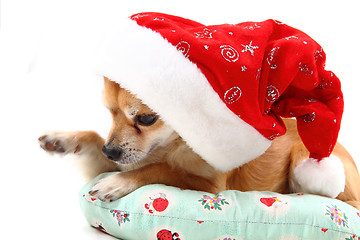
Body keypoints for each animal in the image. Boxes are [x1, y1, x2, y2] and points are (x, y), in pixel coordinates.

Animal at [38, 77, 360, 210]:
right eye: (109, 112)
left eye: (146, 119)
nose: (110, 151)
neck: (174, 144)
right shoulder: (122, 157)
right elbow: (95, 137)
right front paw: (62, 139)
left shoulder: (210, 185)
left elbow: (161, 170)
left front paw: (117, 182)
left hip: (306, 154)